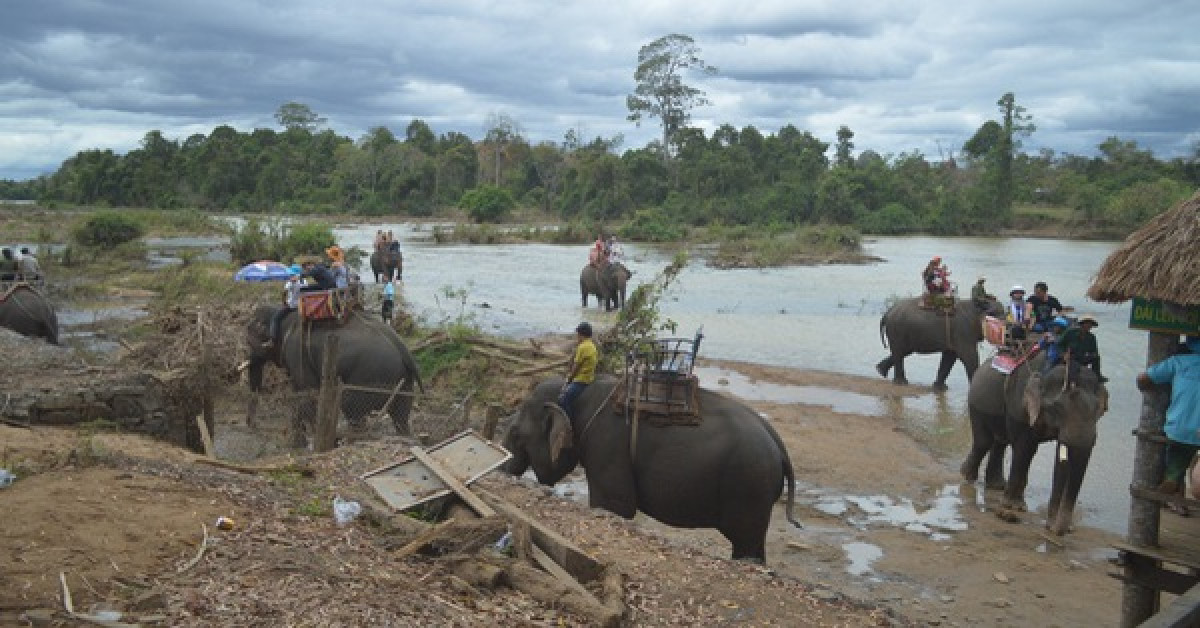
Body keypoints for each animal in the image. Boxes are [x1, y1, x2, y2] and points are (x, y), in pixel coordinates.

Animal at [243, 304, 422, 441]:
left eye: (250, 342)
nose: (253, 426)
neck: (280, 316)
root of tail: (405, 352)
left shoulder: (296, 351)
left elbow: (307, 394)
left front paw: (309, 438)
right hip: (404, 382)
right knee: (401, 416)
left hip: (371, 377)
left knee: (351, 408)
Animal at [496, 377, 796, 561]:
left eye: (516, 434)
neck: (577, 393)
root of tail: (778, 444)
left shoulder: (608, 445)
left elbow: (615, 506)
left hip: (749, 486)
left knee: (747, 543)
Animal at [873, 297, 1003, 391]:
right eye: (993, 313)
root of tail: (887, 313)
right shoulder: (963, 332)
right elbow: (969, 357)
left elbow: (950, 356)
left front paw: (940, 388)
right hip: (897, 330)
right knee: (900, 352)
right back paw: (901, 382)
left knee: (903, 352)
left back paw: (880, 370)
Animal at [960, 353, 1108, 535]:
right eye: (1056, 407)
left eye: (1099, 410)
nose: (1057, 530)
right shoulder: (1019, 406)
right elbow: (1026, 448)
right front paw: (1013, 507)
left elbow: (1061, 458)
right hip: (977, 403)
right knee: (984, 441)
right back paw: (968, 477)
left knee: (1000, 441)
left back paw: (997, 486)